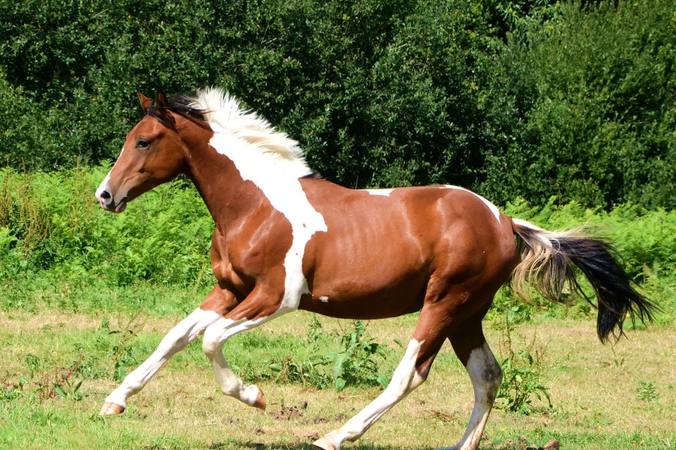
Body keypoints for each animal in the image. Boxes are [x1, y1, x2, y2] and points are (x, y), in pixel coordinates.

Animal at [95, 89, 653, 450]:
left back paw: (333, 436)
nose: (105, 195)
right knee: (488, 376)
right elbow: (176, 337)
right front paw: (115, 402)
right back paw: (458, 445)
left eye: (144, 141)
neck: (255, 205)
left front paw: (255, 397)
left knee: (410, 374)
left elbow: (209, 340)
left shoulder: (277, 296)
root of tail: (503, 221)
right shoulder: (229, 290)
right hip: (467, 313)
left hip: (444, 302)